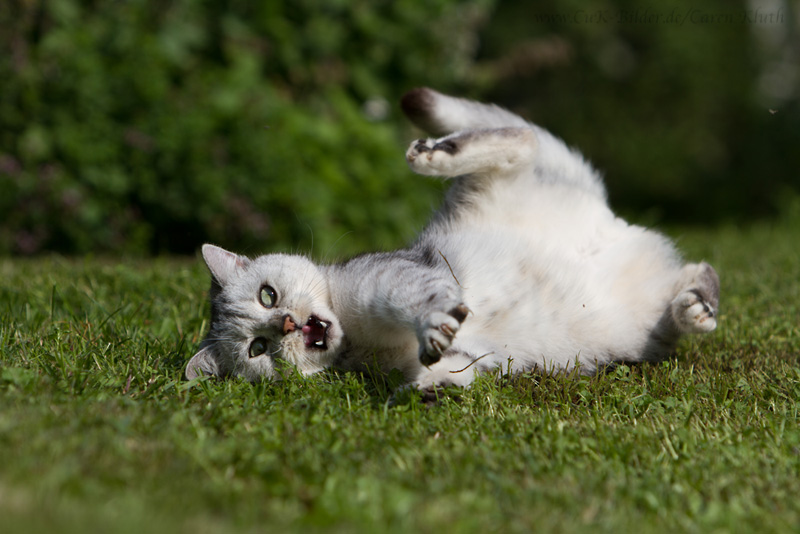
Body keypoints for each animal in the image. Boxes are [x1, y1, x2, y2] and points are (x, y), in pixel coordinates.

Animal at [186, 86, 720, 392]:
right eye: (257, 349)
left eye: (267, 294)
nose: (289, 324)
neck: (358, 340)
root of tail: (606, 218)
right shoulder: (462, 359)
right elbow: (448, 370)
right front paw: (430, 387)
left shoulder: (393, 278)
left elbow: (420, 302)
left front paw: (434, 326)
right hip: (644, 319)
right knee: (694, 271)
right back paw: (696, 306)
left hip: (494, 183)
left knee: (521, 138)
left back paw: (433, 153)